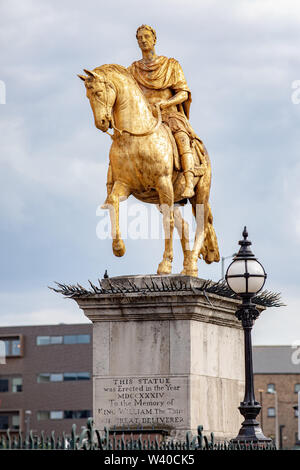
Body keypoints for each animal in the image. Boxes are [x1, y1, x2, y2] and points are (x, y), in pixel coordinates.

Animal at [77, 62, 219, 276]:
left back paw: (192, 266)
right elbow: (112, 203)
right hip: (174, 198)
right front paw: (119, 247)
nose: (101, 123)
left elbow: (168, 222)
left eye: (98, 92)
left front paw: (165, 264)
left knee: (201, 224)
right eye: (87, 96)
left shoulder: (163, 183)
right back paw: (186, 266)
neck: (134, 137)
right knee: (185, 226)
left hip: (200, 192)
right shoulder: (124, 184)